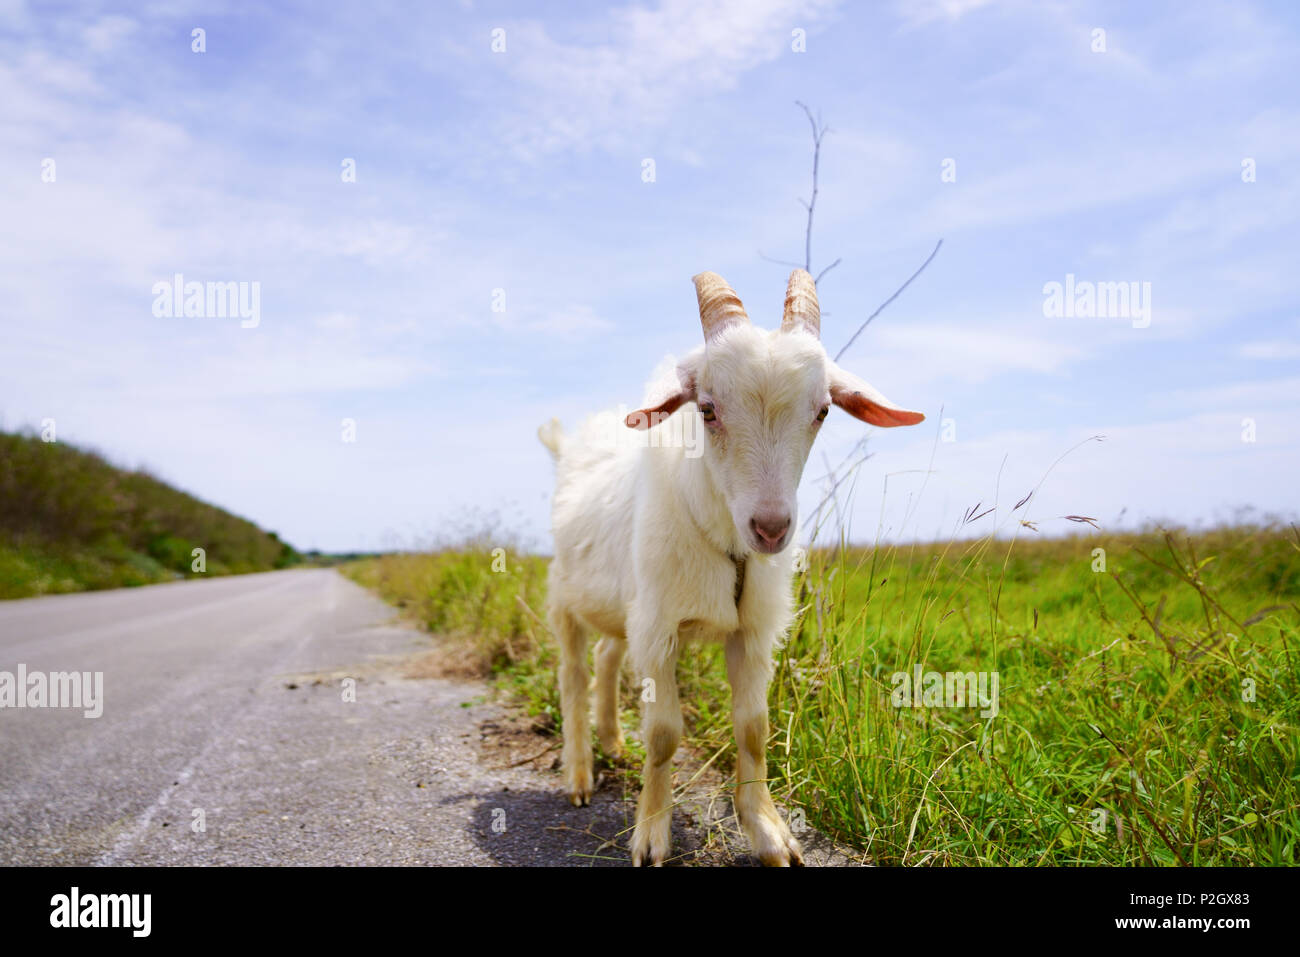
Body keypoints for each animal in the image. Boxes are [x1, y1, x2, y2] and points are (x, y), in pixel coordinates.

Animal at [538, 269, 925, 868]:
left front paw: (768, 833)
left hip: (623, 605)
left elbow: (753, 729)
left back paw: (613, 743)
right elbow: (665, 735)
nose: (770, 528)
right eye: (708, 408)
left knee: (606, 656)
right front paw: (651, 835)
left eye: (822, 411)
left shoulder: (751, 628)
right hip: (565, 597)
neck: (727, 544)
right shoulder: (659, 630)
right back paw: (580, 773)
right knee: (574, 674)